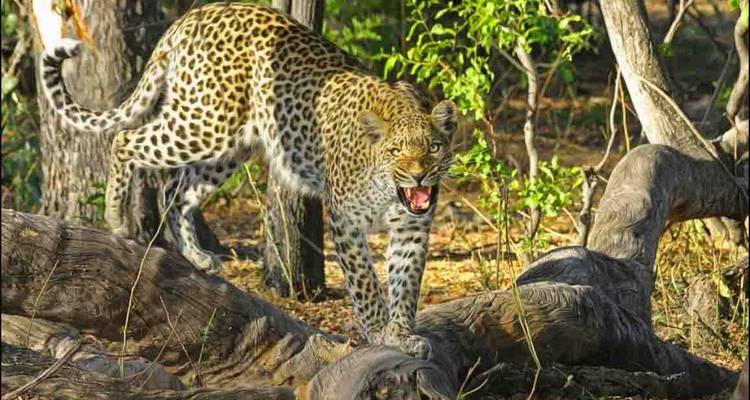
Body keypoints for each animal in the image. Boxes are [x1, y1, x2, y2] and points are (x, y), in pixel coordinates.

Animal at [38, 2, 457, 358]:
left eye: (434, 148)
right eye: (396, 151)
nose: (419, 175)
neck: (390, 191)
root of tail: (192, 16)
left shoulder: (413, 229)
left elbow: (406, 285)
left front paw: (402, 335)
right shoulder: (345, 221)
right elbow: (366, 285)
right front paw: (379, 332)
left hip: (231, 146)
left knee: (176, 190)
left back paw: (196, 256)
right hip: (205, 123)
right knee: (126, 140)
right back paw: (117, 219)